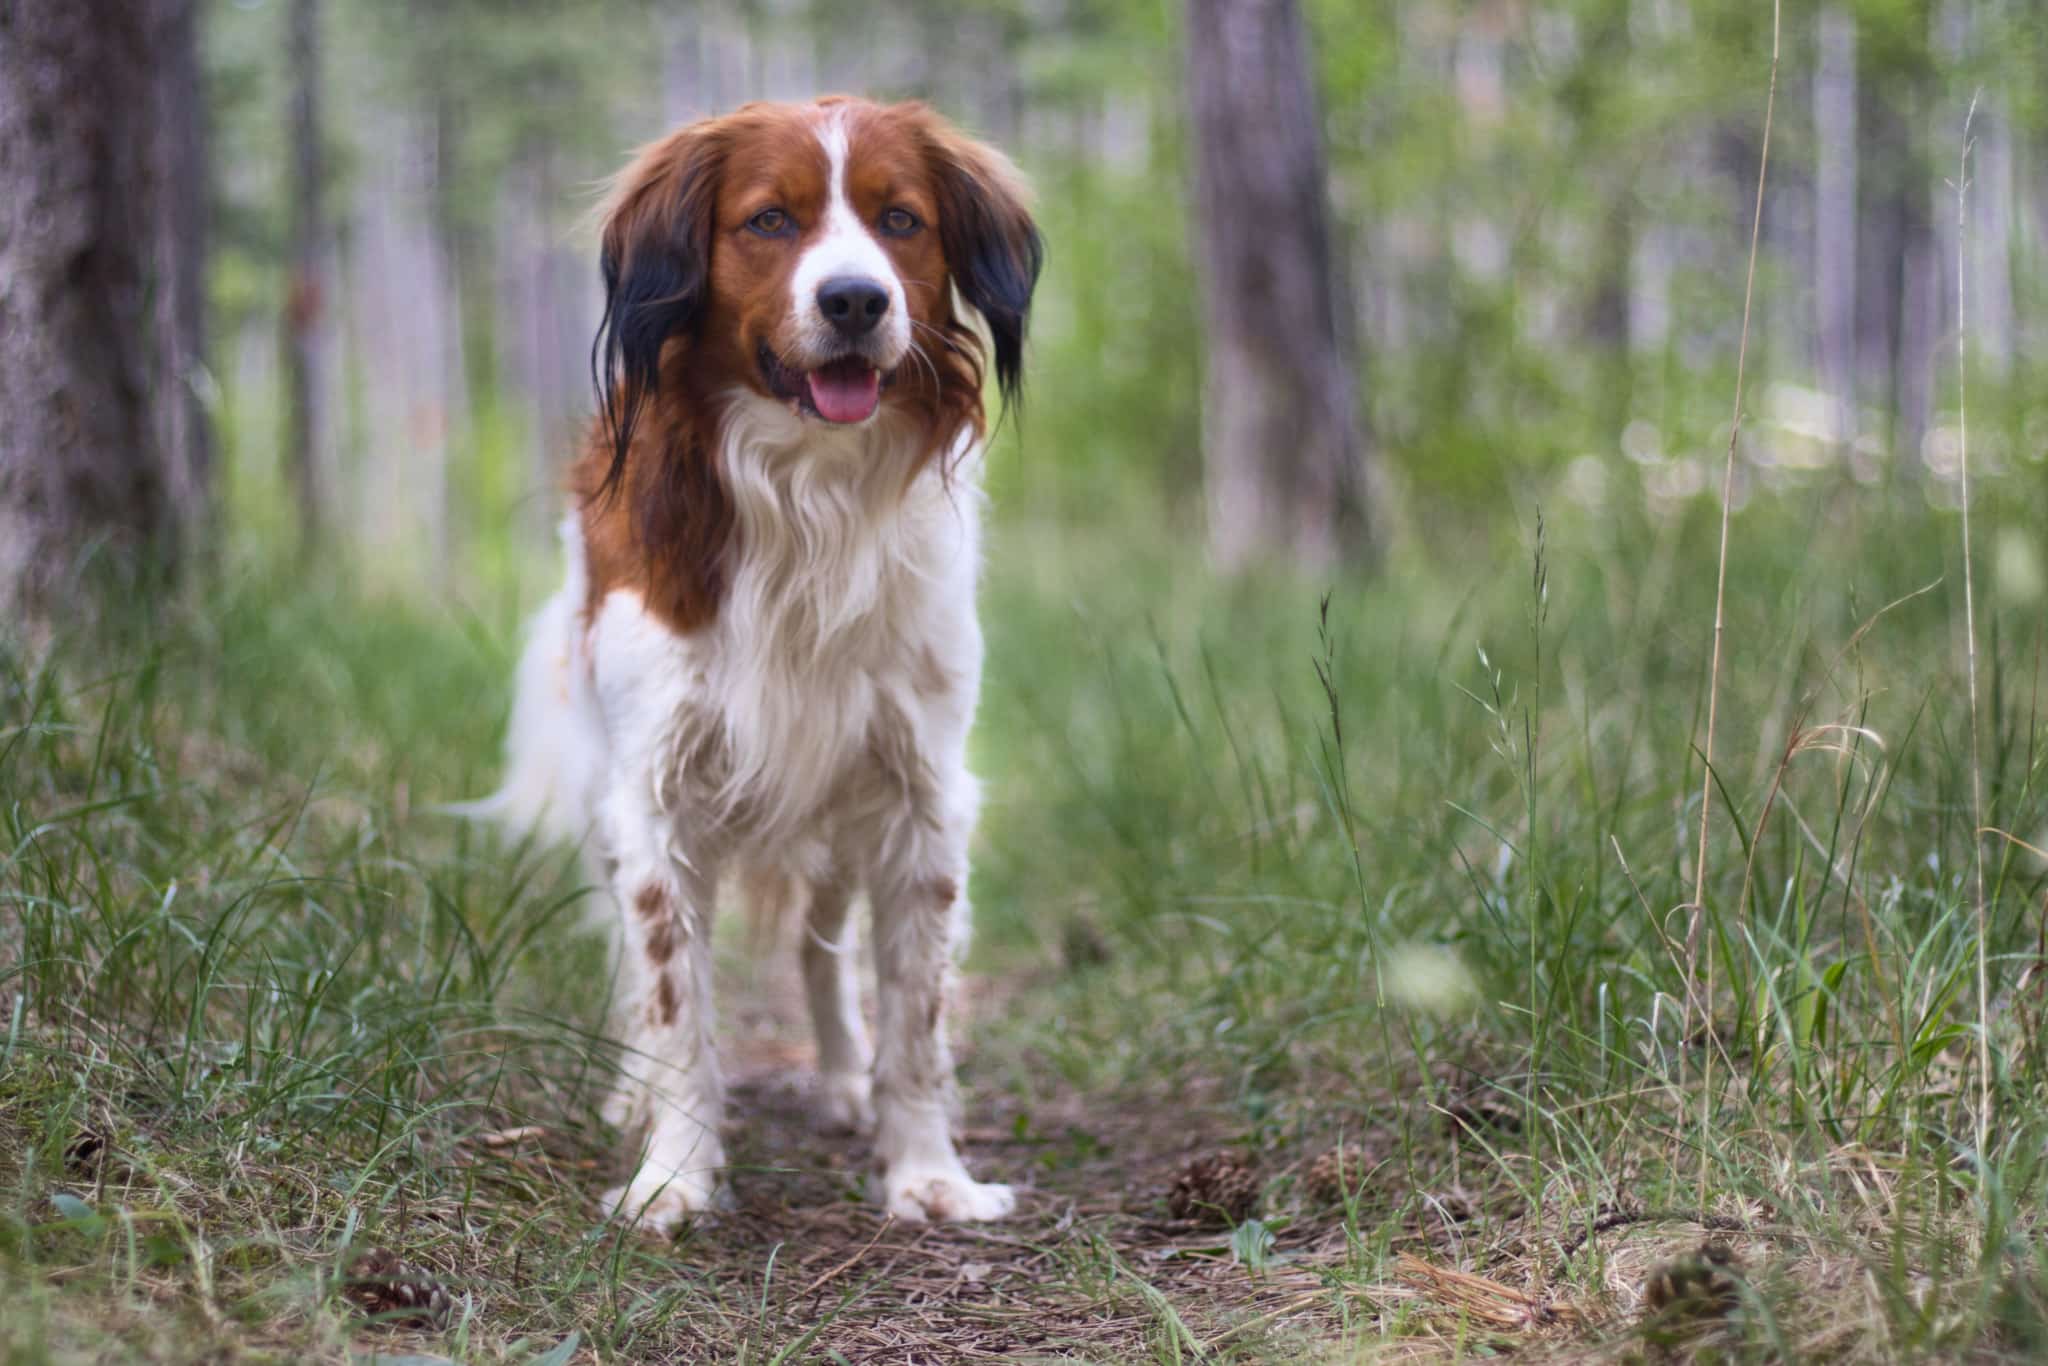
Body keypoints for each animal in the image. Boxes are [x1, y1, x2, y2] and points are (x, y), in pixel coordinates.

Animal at [475, 90, 1040, 1236]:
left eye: (901, 220)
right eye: (769, 221)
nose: (856, 299)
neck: (806, 494)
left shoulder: (917, 790)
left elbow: (915, 1014)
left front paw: (927, 1172)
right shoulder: (653, 795)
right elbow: (673, 1001)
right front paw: (673, 1175)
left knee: (822, 952)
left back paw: (840, 1076)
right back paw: (631, 1094)